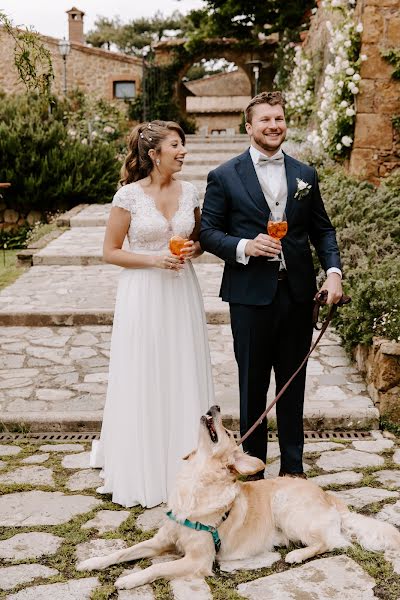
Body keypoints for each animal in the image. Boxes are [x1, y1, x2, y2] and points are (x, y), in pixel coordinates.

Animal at [77, 404, 400, 592]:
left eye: (230, 432)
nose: (215, 405)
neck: (197, 484)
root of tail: (330, 497)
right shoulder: (161, 541)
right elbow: (122, 552)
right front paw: (93, 562)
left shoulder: (199, 560)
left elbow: (156, 567)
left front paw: (128, 579)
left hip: (287, 507)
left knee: (330, 542)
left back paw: (297, 555)